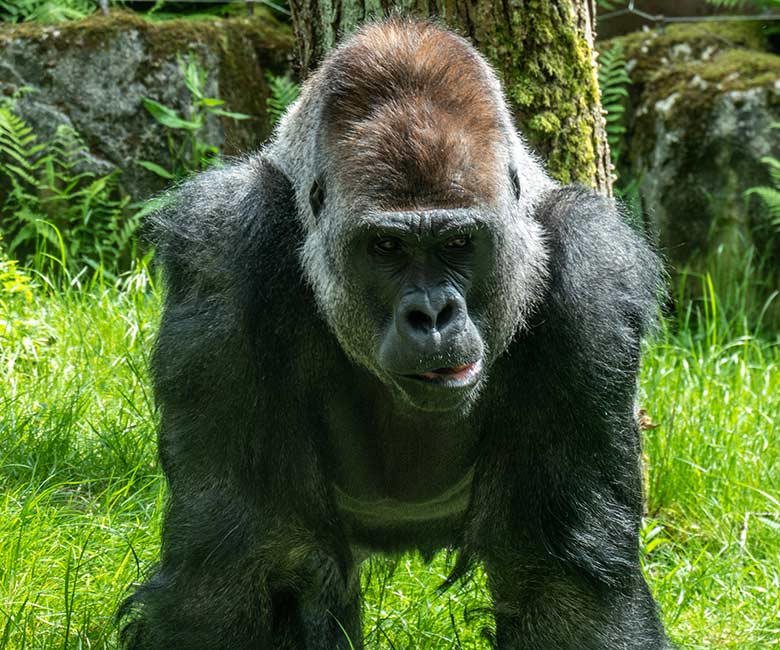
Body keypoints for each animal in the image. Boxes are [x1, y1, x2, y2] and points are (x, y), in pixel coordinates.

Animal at [120, 17, 672, 648]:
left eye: (458, 242)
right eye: (386, 247)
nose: (432, 316)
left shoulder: (594, 271)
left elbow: (566, 587)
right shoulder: (223, 245)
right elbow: (239, 563)